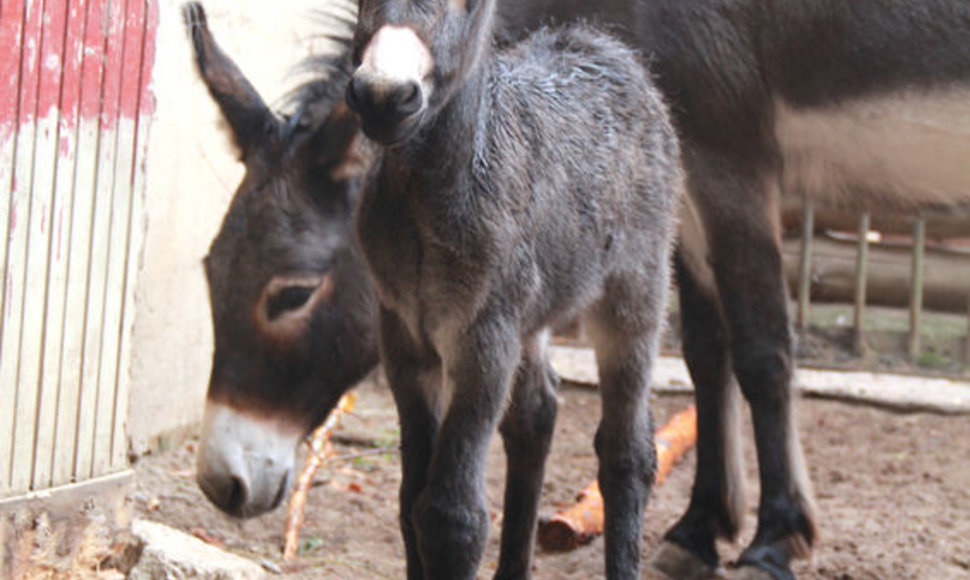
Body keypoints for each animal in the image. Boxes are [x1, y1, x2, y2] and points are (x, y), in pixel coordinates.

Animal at [348, 2, 680, 576]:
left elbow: (451, 517)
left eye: (466, 7)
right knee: (535, 417)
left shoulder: (484, 335)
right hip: (531, 312)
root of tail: (607, 46)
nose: (383, 95)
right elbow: (410, 498)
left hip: (634, 288)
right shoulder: (404, 336)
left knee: (628, 453)